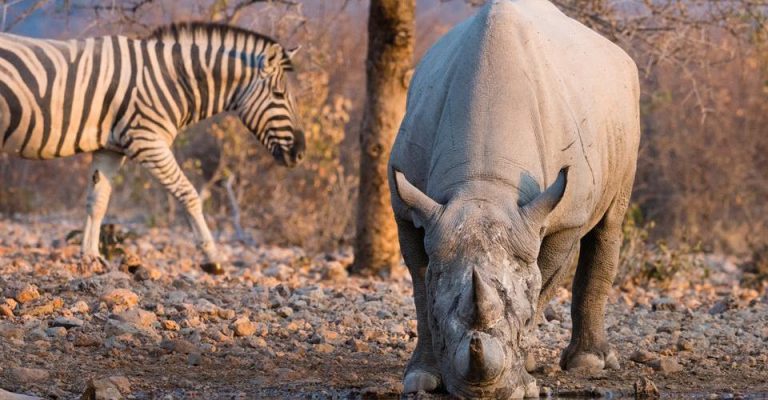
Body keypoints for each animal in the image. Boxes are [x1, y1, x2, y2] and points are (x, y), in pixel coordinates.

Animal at [0, 23, 305, 274]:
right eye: (279, 95)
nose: (300, 153)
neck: (172, 80)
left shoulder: (111, 149)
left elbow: (97, 201)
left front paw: (91, 258)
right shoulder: (147, 141)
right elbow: (189, 194)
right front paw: (212, 259)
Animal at [388, 0, 640, 397]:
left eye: (520, 323)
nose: (482, 394)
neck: (484, 185)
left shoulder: (560, 217)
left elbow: (542, 283)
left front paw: (525, 376)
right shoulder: (408, 208)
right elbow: (420, 286)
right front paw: (423, 376)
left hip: (625, 105)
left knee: (609, 223)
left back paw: (588, 363)